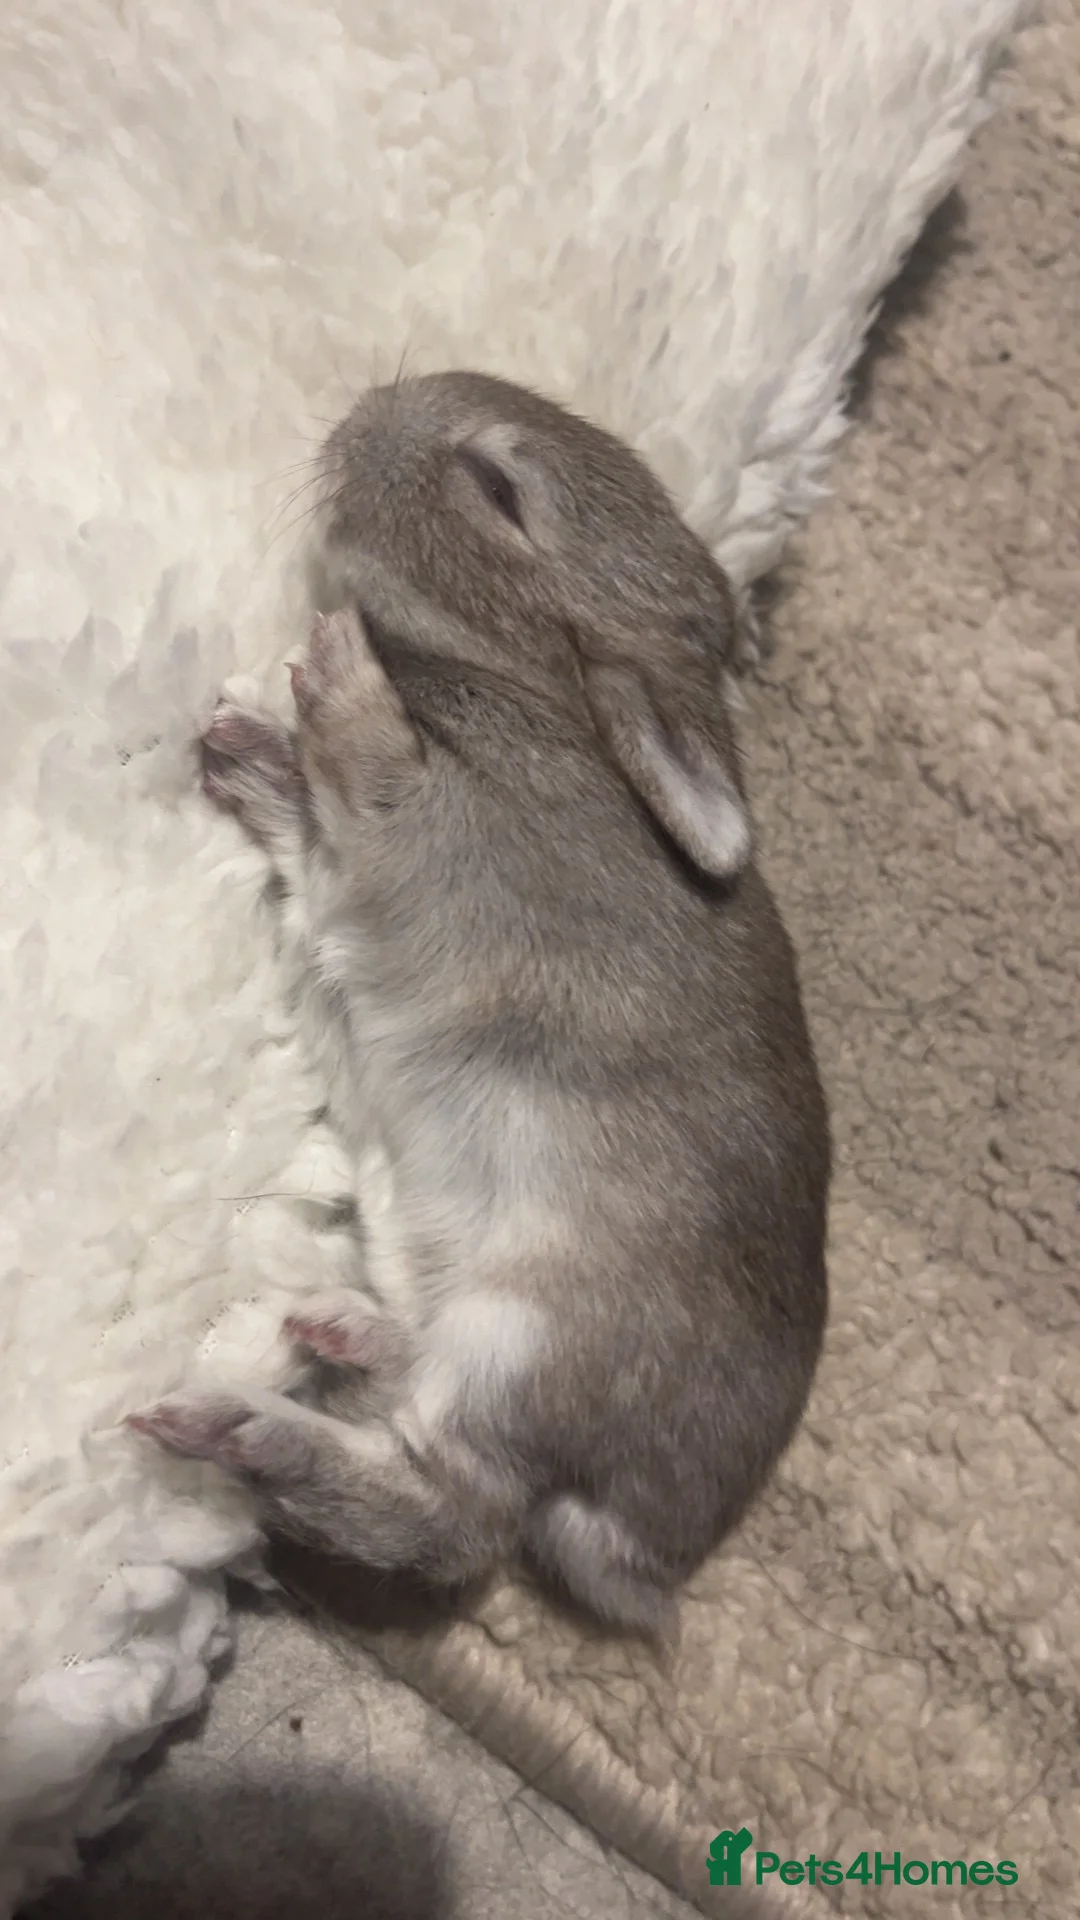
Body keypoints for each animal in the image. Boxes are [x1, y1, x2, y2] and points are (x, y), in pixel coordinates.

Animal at [129, 371, 830, 1637]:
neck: (532, 690)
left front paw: (335, 669)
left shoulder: (420, 831)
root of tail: (633, 1545)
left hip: (526, 1333)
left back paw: (238, 1429)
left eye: (501, 488)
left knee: (449, 1516)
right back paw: (340, 1329)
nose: (366, 410)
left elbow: (363, 778)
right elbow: (307, 825)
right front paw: (245, 746)